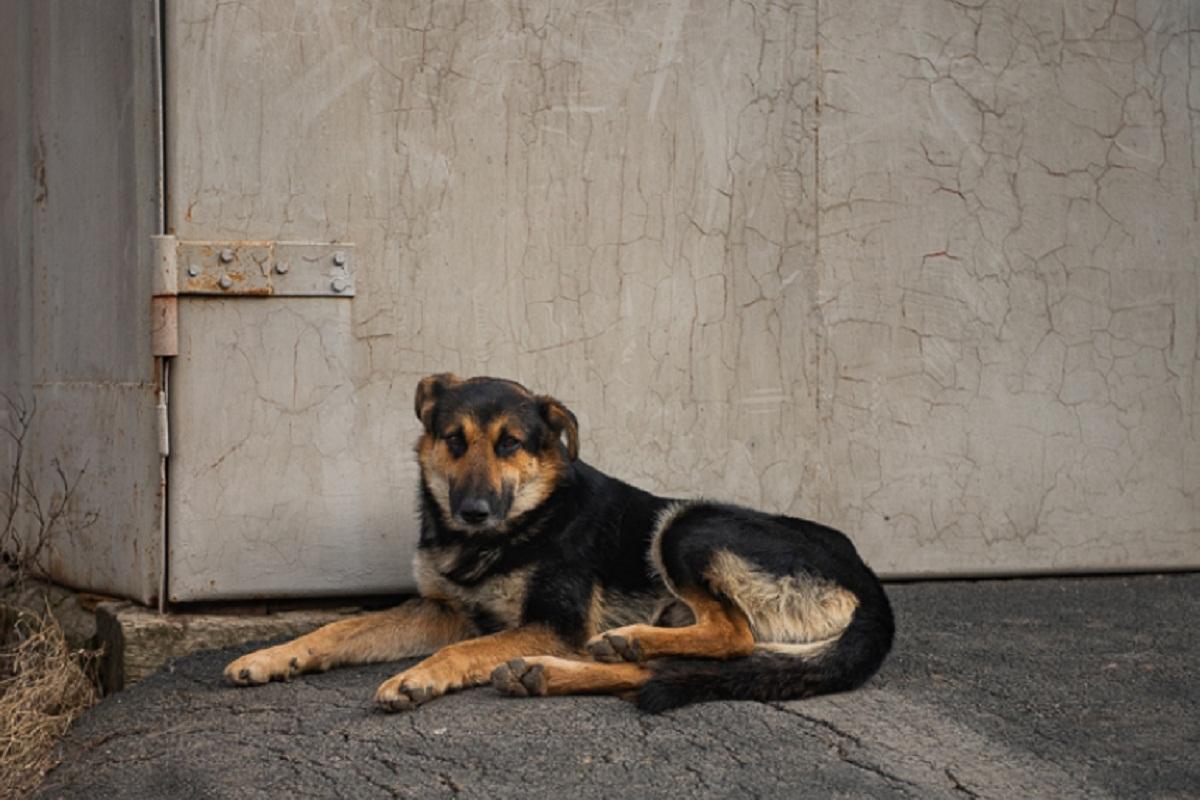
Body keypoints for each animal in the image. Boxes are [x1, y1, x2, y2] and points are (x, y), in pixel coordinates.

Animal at [229, 376, 897, 714]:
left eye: (509, 444)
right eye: (454, 439)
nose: (472, 511)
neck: (524, 521)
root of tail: (871, 585)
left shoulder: (554, 622)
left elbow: (455, 652)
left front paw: (416, 678)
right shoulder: (445, 611)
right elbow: (340, 628)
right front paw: (274, 656)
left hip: (689, 524)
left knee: (731, 635)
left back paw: (624, 641)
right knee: (678, 667)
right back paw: (547, 674)